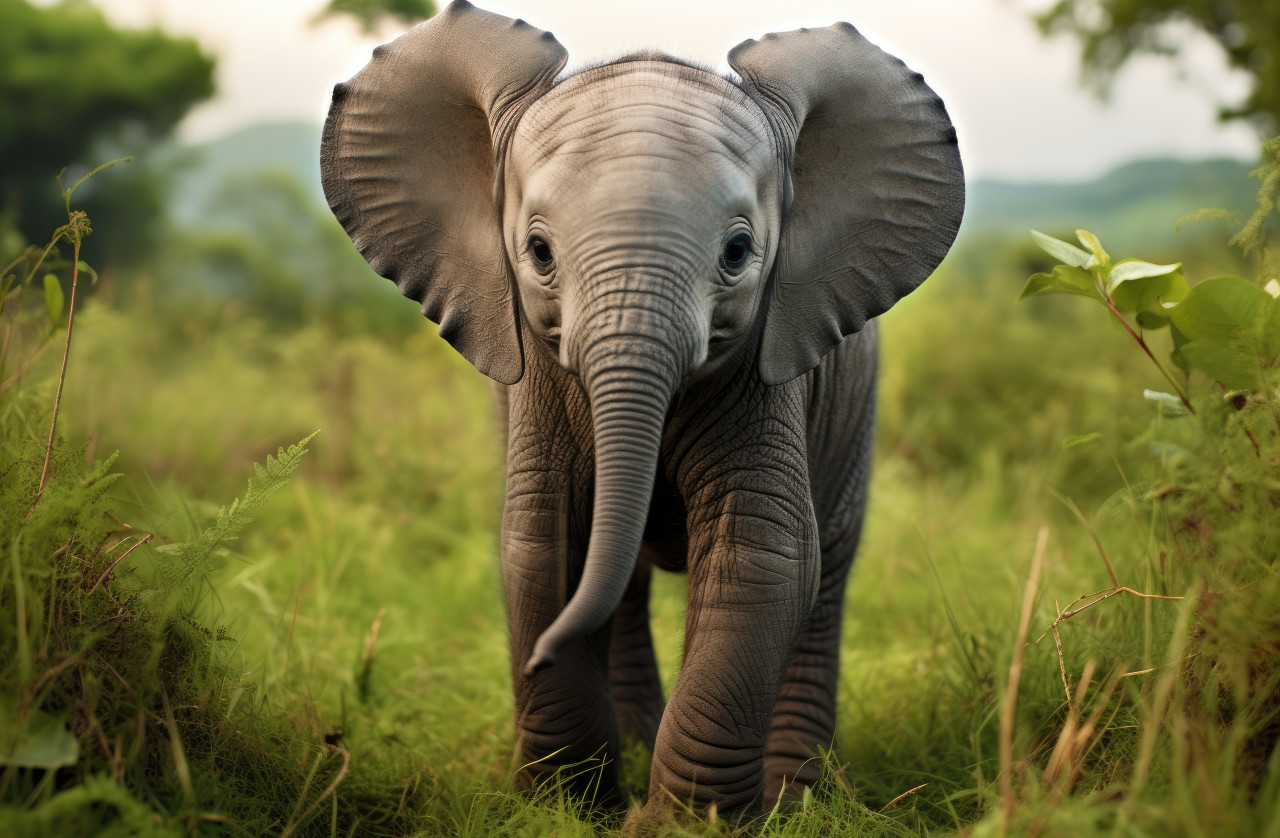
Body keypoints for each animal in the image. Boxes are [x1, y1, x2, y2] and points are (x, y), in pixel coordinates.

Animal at [321, 0, 964, 819]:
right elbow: (545, 544)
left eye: (738, 252)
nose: (536, 658)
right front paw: (565, 809)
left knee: (829, 570)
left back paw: (800, 797)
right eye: (538, 252)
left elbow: (762, 556)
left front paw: (684, 824)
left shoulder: (764, 371)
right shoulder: (540, 387)